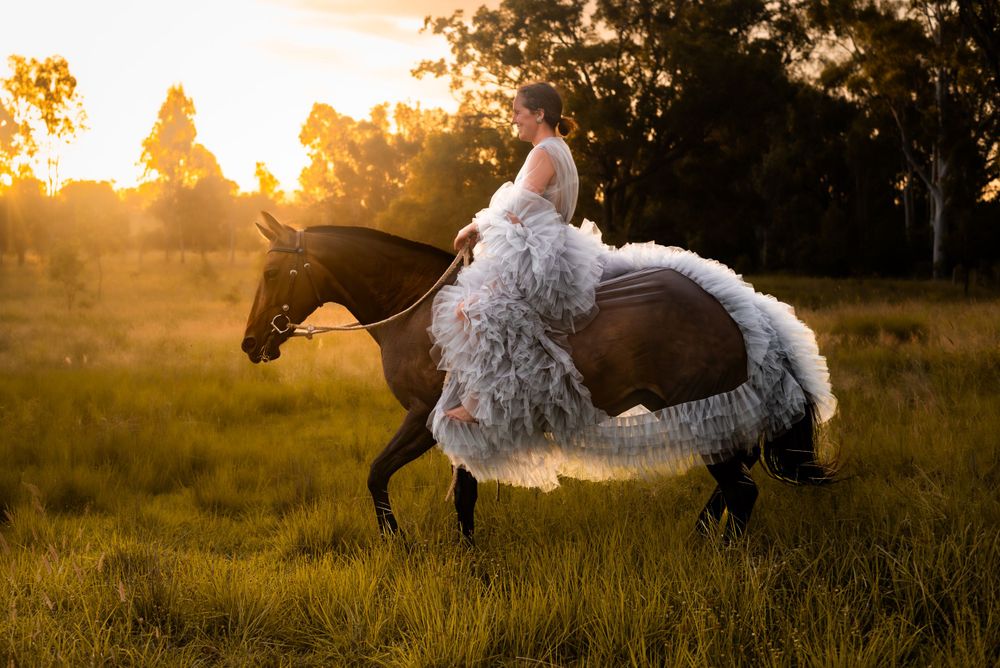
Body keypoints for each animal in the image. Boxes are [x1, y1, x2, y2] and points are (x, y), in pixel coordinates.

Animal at [241, 212, 835, 543]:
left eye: (271, 272)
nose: (250, 345)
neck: (420, 311)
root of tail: (740, 313)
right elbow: (462, 496)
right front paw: (466, 554)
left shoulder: (425, 416)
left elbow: (377, 474)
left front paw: (397, 542)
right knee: (737, 483)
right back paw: (698, 540)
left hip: (701, 411)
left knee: (742, 491)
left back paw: (714, 554)